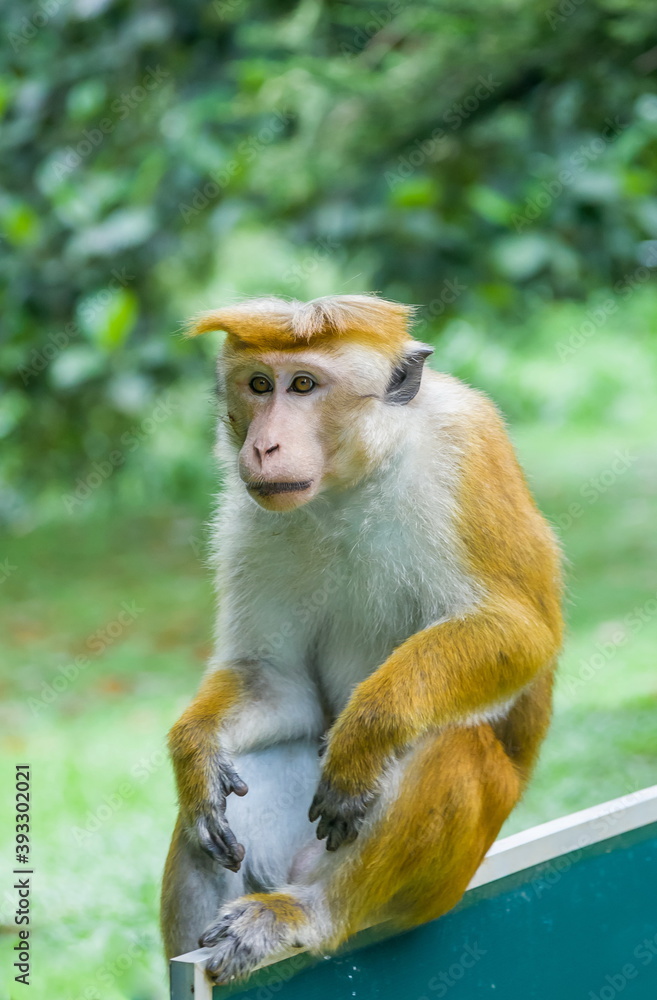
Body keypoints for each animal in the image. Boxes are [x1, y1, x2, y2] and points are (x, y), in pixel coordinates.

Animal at [160, 294, 562, 983]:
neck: (351, 484)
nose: (263, 446)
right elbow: (276, 678)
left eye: (303, 385)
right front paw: (195, 755)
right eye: (259, 385)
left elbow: (520, 630)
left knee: (450, 745)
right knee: (213, 817)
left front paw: (368, 730)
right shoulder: (246, 513)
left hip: (437, 887)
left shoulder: (466, 450)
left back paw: (307, 911)